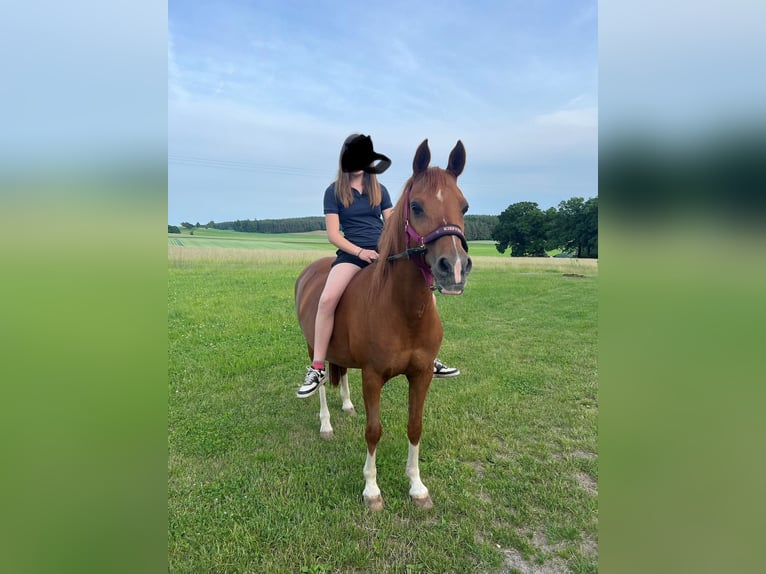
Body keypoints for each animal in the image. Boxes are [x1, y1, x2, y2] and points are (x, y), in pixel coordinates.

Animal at [294, 139, 472, 510]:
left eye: (464, 206)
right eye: (416, 206)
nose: (454, 268)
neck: (403, 311)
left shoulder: (420, 375)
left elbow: (415, 426)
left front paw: (417, 487)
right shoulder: (373, 377)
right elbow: (373, 430)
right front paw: (372, 490)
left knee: (341, 372)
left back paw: (346, 406)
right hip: (313, 344)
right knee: (321, 380)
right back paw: (326, 422)